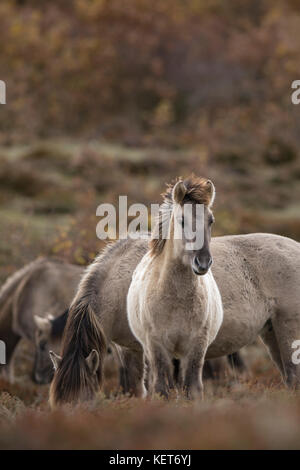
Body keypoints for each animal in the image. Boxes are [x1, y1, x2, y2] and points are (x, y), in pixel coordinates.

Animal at [127, 174, 300, 398]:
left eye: (211, 221)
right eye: (182, 221)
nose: (203, 262)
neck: (173, 298)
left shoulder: (196, 347)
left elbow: (193, 389)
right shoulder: (157, 348)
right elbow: (161, 389)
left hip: (289, 328)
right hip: (272, 332)